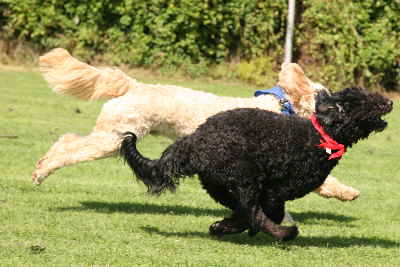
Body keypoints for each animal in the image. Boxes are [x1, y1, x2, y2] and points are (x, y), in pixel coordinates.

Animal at [120, 87, 392, 242]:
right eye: (365, 100)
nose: (390, 101)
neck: (321, 135)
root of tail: (195, 139)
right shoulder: (273, 192)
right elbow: (265, 214)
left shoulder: (267, 193)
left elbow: (254, 214)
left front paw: (223, 226)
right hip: (244, 178)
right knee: (254, 213)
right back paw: (285, 234)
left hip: (220, 184)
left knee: (245, 211)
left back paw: (225, 227)